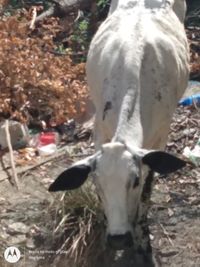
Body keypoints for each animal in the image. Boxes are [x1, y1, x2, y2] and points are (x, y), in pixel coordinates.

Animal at [49, 0, 190, 264]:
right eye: (97, 183)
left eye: (134, 180)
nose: (118, 239)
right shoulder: (99, 132)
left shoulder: (160, 137)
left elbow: (146, 193)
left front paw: (144, 247)